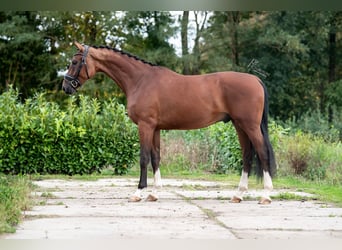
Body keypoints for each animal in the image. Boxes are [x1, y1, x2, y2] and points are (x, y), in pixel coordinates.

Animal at [64, 41, 276, 205]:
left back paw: (265, 196)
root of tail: (256, 80)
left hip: (249, 126)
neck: (140, 80)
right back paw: (238, 195)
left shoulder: (145, 126)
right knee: (247, 155)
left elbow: (144, 158)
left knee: (262, 153)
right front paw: (154, 193)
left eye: (74, 62)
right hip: (239, 126)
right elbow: (155, 158)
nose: (65, 87)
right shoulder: (155, 128)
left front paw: (138, 192)